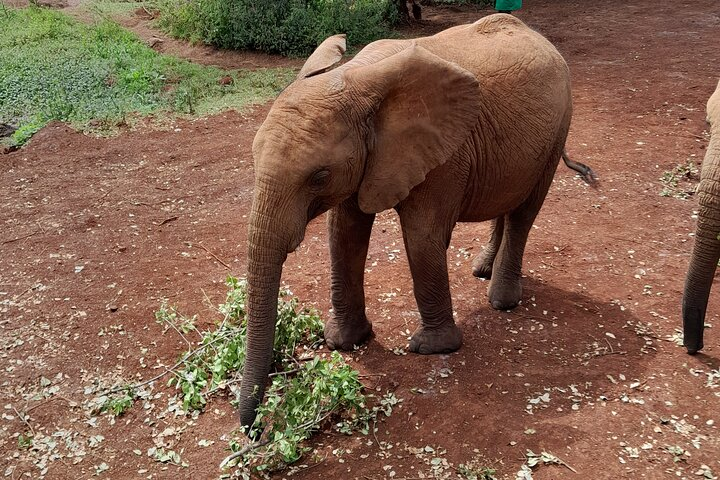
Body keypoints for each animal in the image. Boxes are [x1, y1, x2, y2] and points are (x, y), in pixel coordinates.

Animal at [239, 14, 575, 428]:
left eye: (319, 176)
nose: (252, 428)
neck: (358, 77)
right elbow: (344, 235)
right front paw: (344, 342)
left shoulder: (444, 155)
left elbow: (421, 236)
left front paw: (431, 349)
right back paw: (482, 269)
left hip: (558, 129)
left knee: (525, 211)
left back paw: (502, 300)